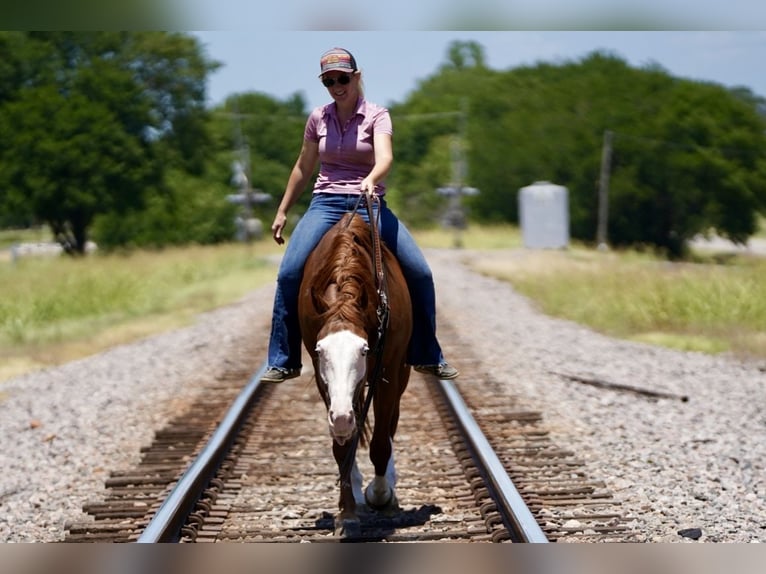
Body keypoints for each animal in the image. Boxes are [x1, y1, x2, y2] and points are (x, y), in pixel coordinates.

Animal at [298, 212, 414, 540]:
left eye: (363, 350)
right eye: (320, 350)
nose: (341, 417)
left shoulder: (388, 371)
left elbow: (380, 443)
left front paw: (380, 495)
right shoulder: (323, 382)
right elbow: (341, 446)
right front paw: (347, 513)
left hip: (400, 376)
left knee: (389, 426)